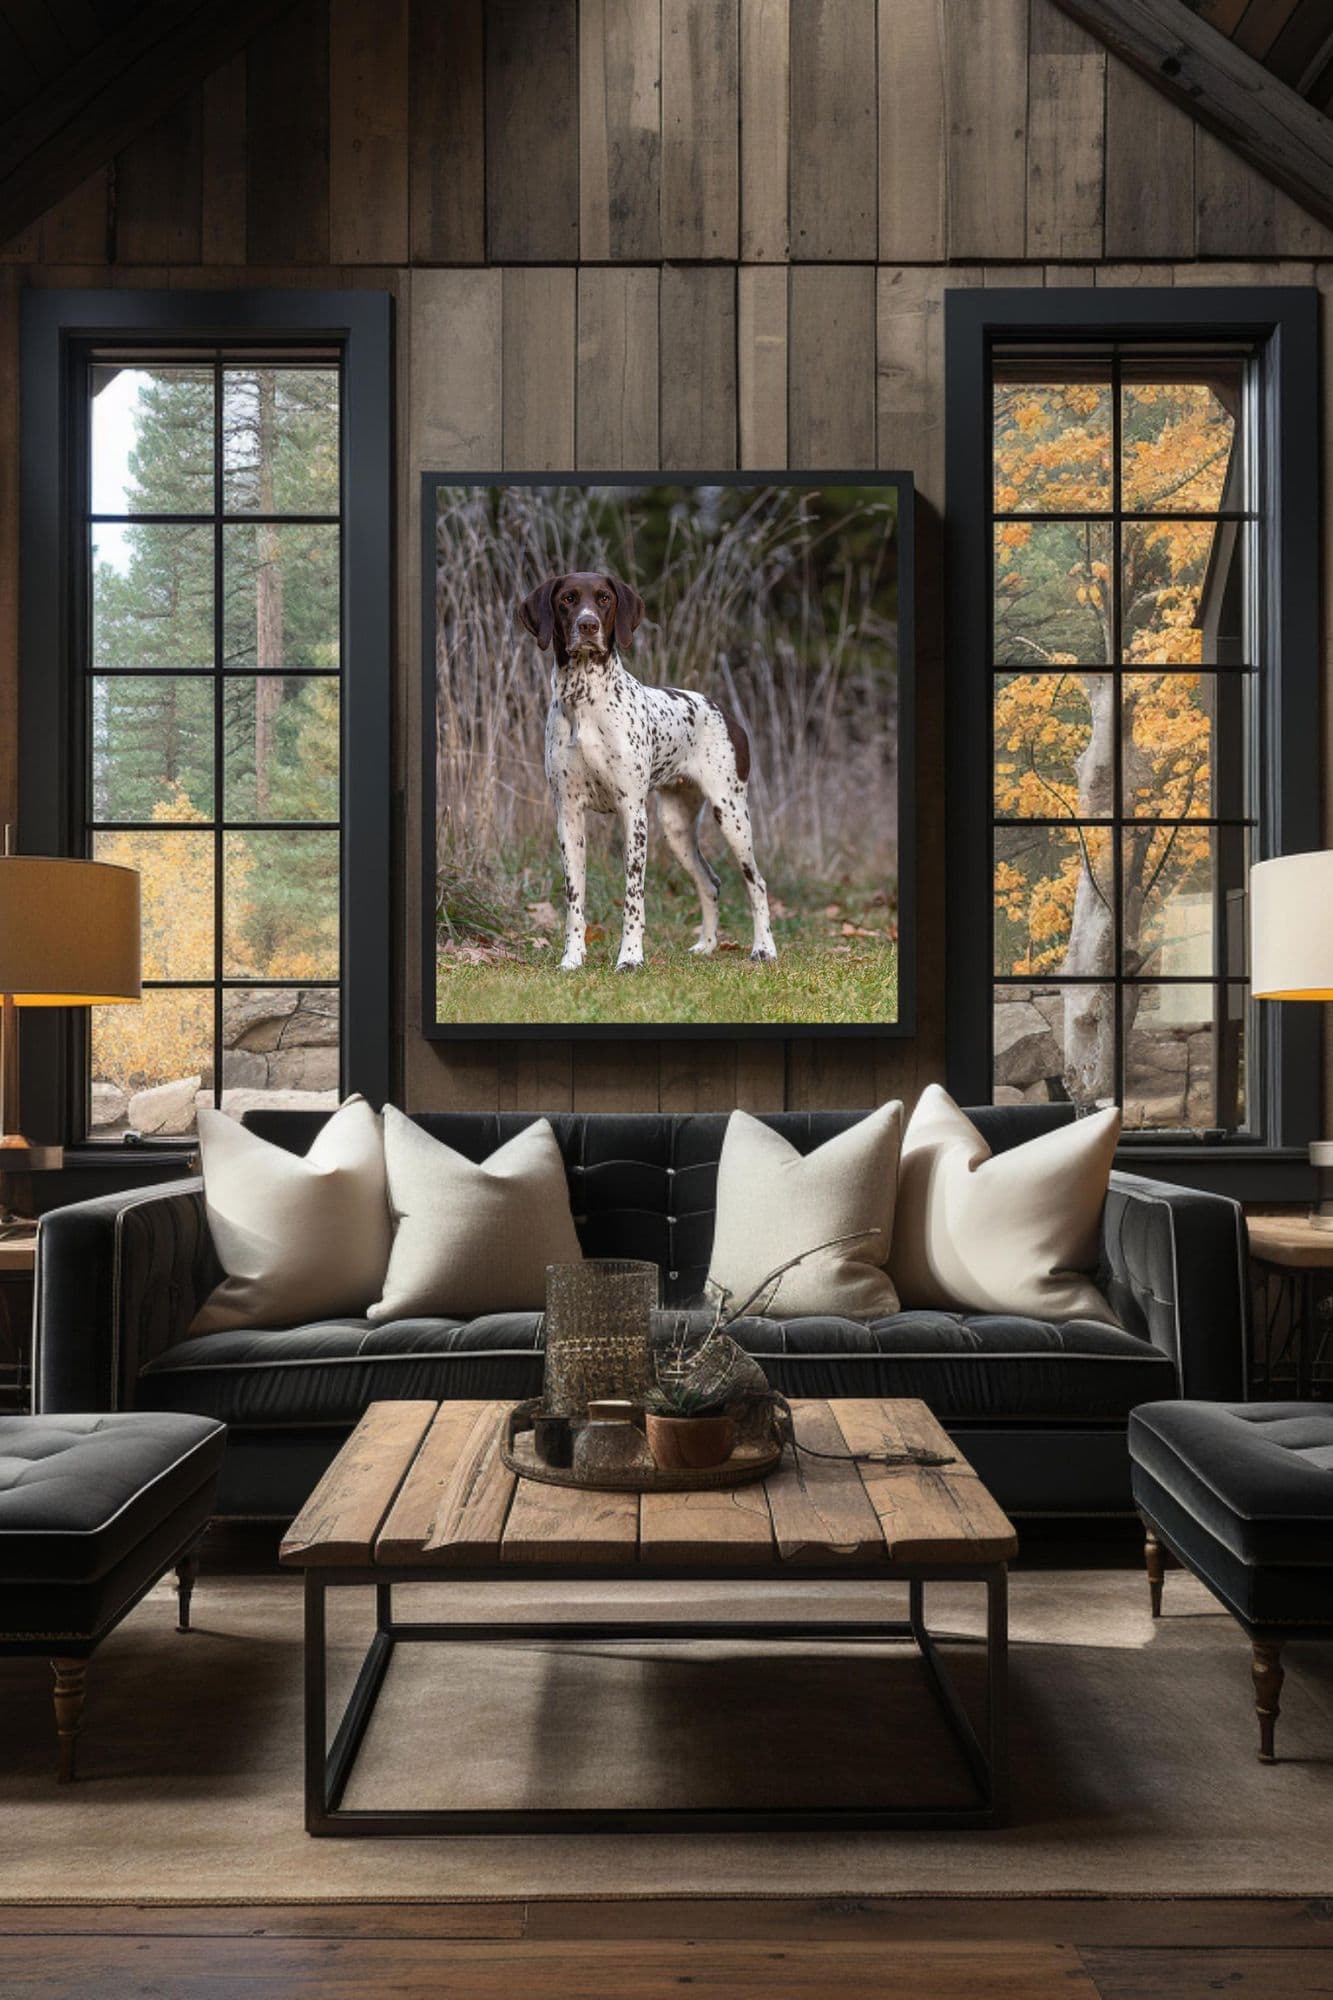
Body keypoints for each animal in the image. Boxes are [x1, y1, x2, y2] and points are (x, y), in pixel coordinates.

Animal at [512, 572, 772, 976]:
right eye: (568, 599)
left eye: (603, 598)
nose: (588, 625)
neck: (586, 700)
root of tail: (725, 712)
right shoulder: (568, 816)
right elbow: (574, 898)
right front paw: (572, 957)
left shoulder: (632, 813)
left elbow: (633, 897)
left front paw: (631, 957)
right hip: (677, 827)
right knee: (710, 883)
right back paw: (706, 945)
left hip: (732, 814)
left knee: (757, 882)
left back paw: (763, 948)